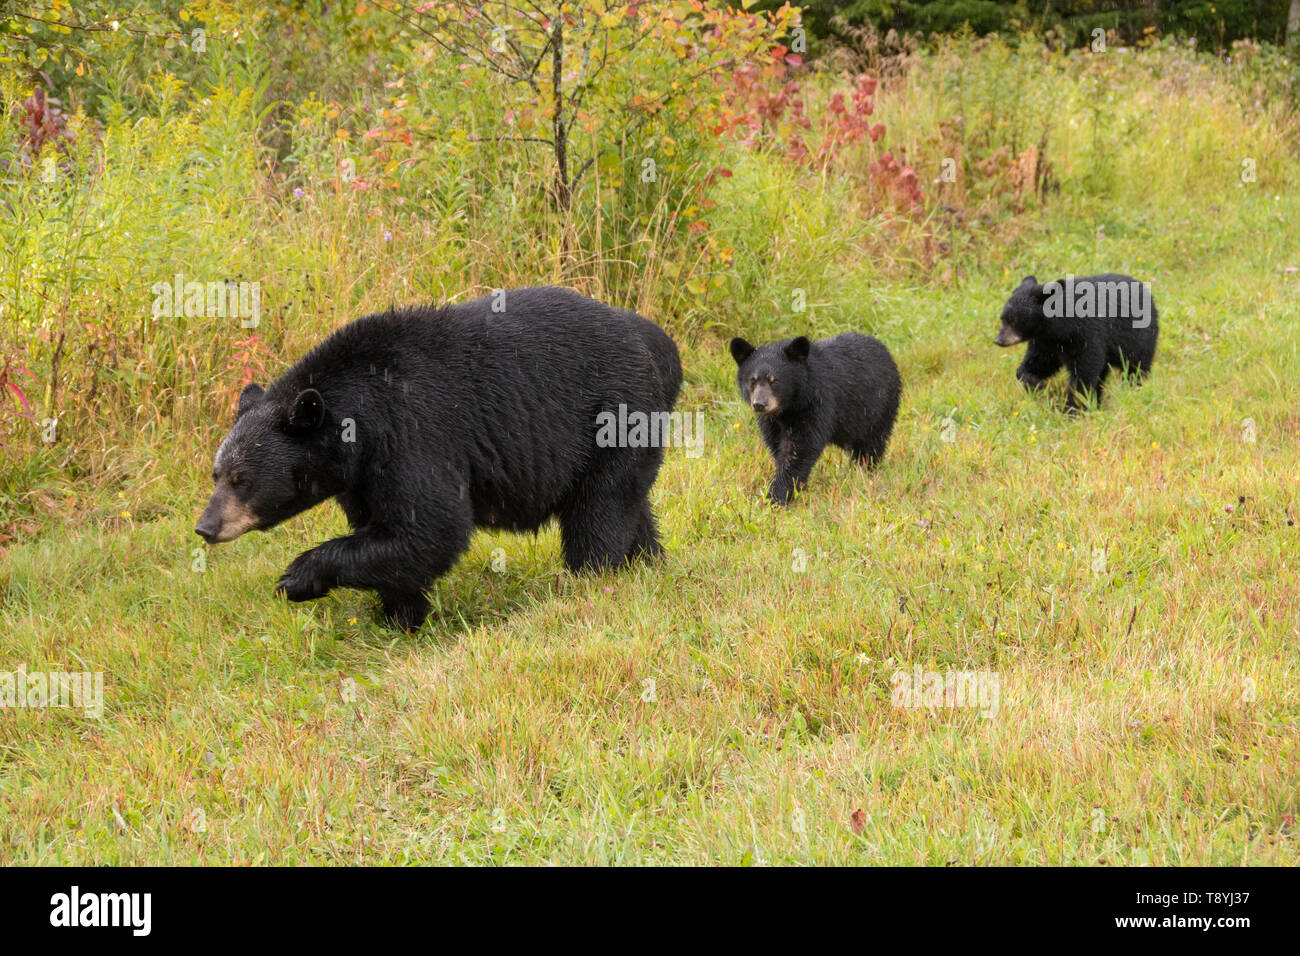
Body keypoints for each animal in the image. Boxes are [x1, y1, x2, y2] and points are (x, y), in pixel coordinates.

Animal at [195, 287, 681, 632]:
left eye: (242, 478)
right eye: (216, 473)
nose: (206, 526)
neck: (360, 419)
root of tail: (657, 342)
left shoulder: (415, 432)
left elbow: (431, 526)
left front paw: (297, 577)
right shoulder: (362, 473)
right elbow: (390, 531)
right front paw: (399, 617)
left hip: (612, 417)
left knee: (598, 511)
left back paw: (588, 578)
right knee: (630, 504)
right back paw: (648, 562)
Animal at [728, 330, 899, 509]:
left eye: (774, 381)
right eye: (752, 380)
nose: (759, 404)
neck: (788, 408)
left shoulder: (816, 406)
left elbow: (799, 449)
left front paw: (775, 497)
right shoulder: (772, 423)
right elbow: (778, 448)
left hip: (877, 410)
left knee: (871, 446)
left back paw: (866, 473)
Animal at [993, 274, 1159, 413]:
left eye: (1013, 320)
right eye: (1003, 318)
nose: (999, 340)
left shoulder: (1086, 334)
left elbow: (1084, 373)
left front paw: (1073, 410)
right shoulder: (1046, 341)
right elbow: (1038, 362)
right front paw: (1035, 383)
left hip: (1138, 338)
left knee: (1135, 367)